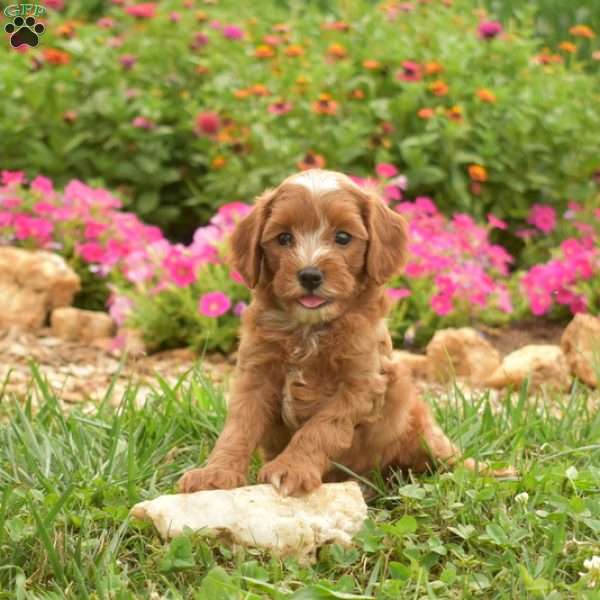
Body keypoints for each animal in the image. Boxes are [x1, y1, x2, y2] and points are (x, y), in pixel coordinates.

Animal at [179, 169, 510, 496]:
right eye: (284, 238)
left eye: (342, 237)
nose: (310, 275)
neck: (309, 330)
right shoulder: (255, 375)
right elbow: (239, 426)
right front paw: (216, 473)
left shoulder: (360, 385)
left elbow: (320, 427)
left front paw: (291, 469)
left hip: (422, 428)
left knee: (449, 456)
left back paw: (493, 472)